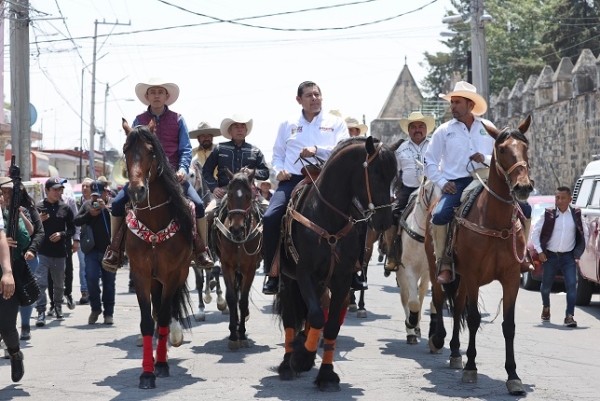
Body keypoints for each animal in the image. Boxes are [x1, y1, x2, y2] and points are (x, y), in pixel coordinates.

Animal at [123, 119, 193, 388]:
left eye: (151, 151)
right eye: (125, 151)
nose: (137, 191)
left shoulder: (173, 275)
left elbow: (163, 316)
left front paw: (161, 365)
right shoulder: (141, 275)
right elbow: (146, 320)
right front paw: (147, 372)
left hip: (176, 275)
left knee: (167, 310)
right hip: (155, 280)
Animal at [216, 167, 262, 348]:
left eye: (249, 195)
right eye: (229, 194)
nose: (236, 229)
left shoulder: (250, 269)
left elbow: (243, 300)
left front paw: (241, 333)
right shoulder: (226, 265)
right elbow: (231, 297)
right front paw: (233, 334)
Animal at [274, 137, 396, 390]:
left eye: (394, 177)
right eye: (376, 173)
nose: (385, 221)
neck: (326, 218)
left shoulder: (341, 279)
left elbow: (329, 325)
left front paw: (326, 374)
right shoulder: (304, 274)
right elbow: (317, 316)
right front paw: (301, 359)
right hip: (288, 281)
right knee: (290, 318)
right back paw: (287, 362)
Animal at [424, 115, 532, 394]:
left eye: (525, 147)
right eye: (502, 149)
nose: (524, 187)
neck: (495, 221)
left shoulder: (511, 278)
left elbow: (508, 325)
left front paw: (513, 376)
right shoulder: (473, 275)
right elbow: (472, 318)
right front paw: (471, 368)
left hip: (462, 278)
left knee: (457, 304)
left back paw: (454, 353)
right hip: (436, 267)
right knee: (440, 299)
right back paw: (439, 339)